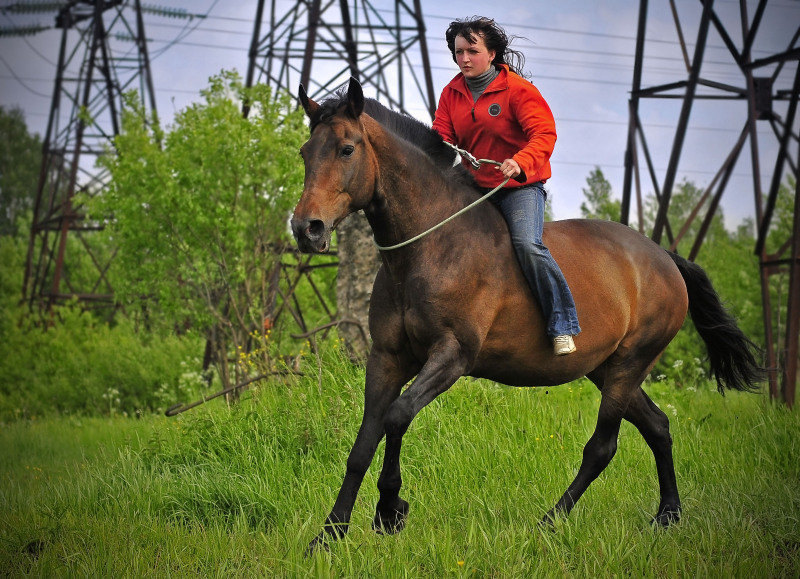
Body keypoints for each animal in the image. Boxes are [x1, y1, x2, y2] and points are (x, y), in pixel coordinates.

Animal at [290, 78, 764, 552]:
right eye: (305, 151)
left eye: (347, 149)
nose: (306, 228)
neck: (430, 245)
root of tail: (666, 258)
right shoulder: (387, 358)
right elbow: (363, 443)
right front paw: (329, 535)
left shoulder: (452, 356)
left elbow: (397, 416)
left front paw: (390, 510)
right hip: (608, 369)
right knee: (659, 427)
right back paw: (667, 515)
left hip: (630, 365)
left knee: (602, 447)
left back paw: (551, 521)